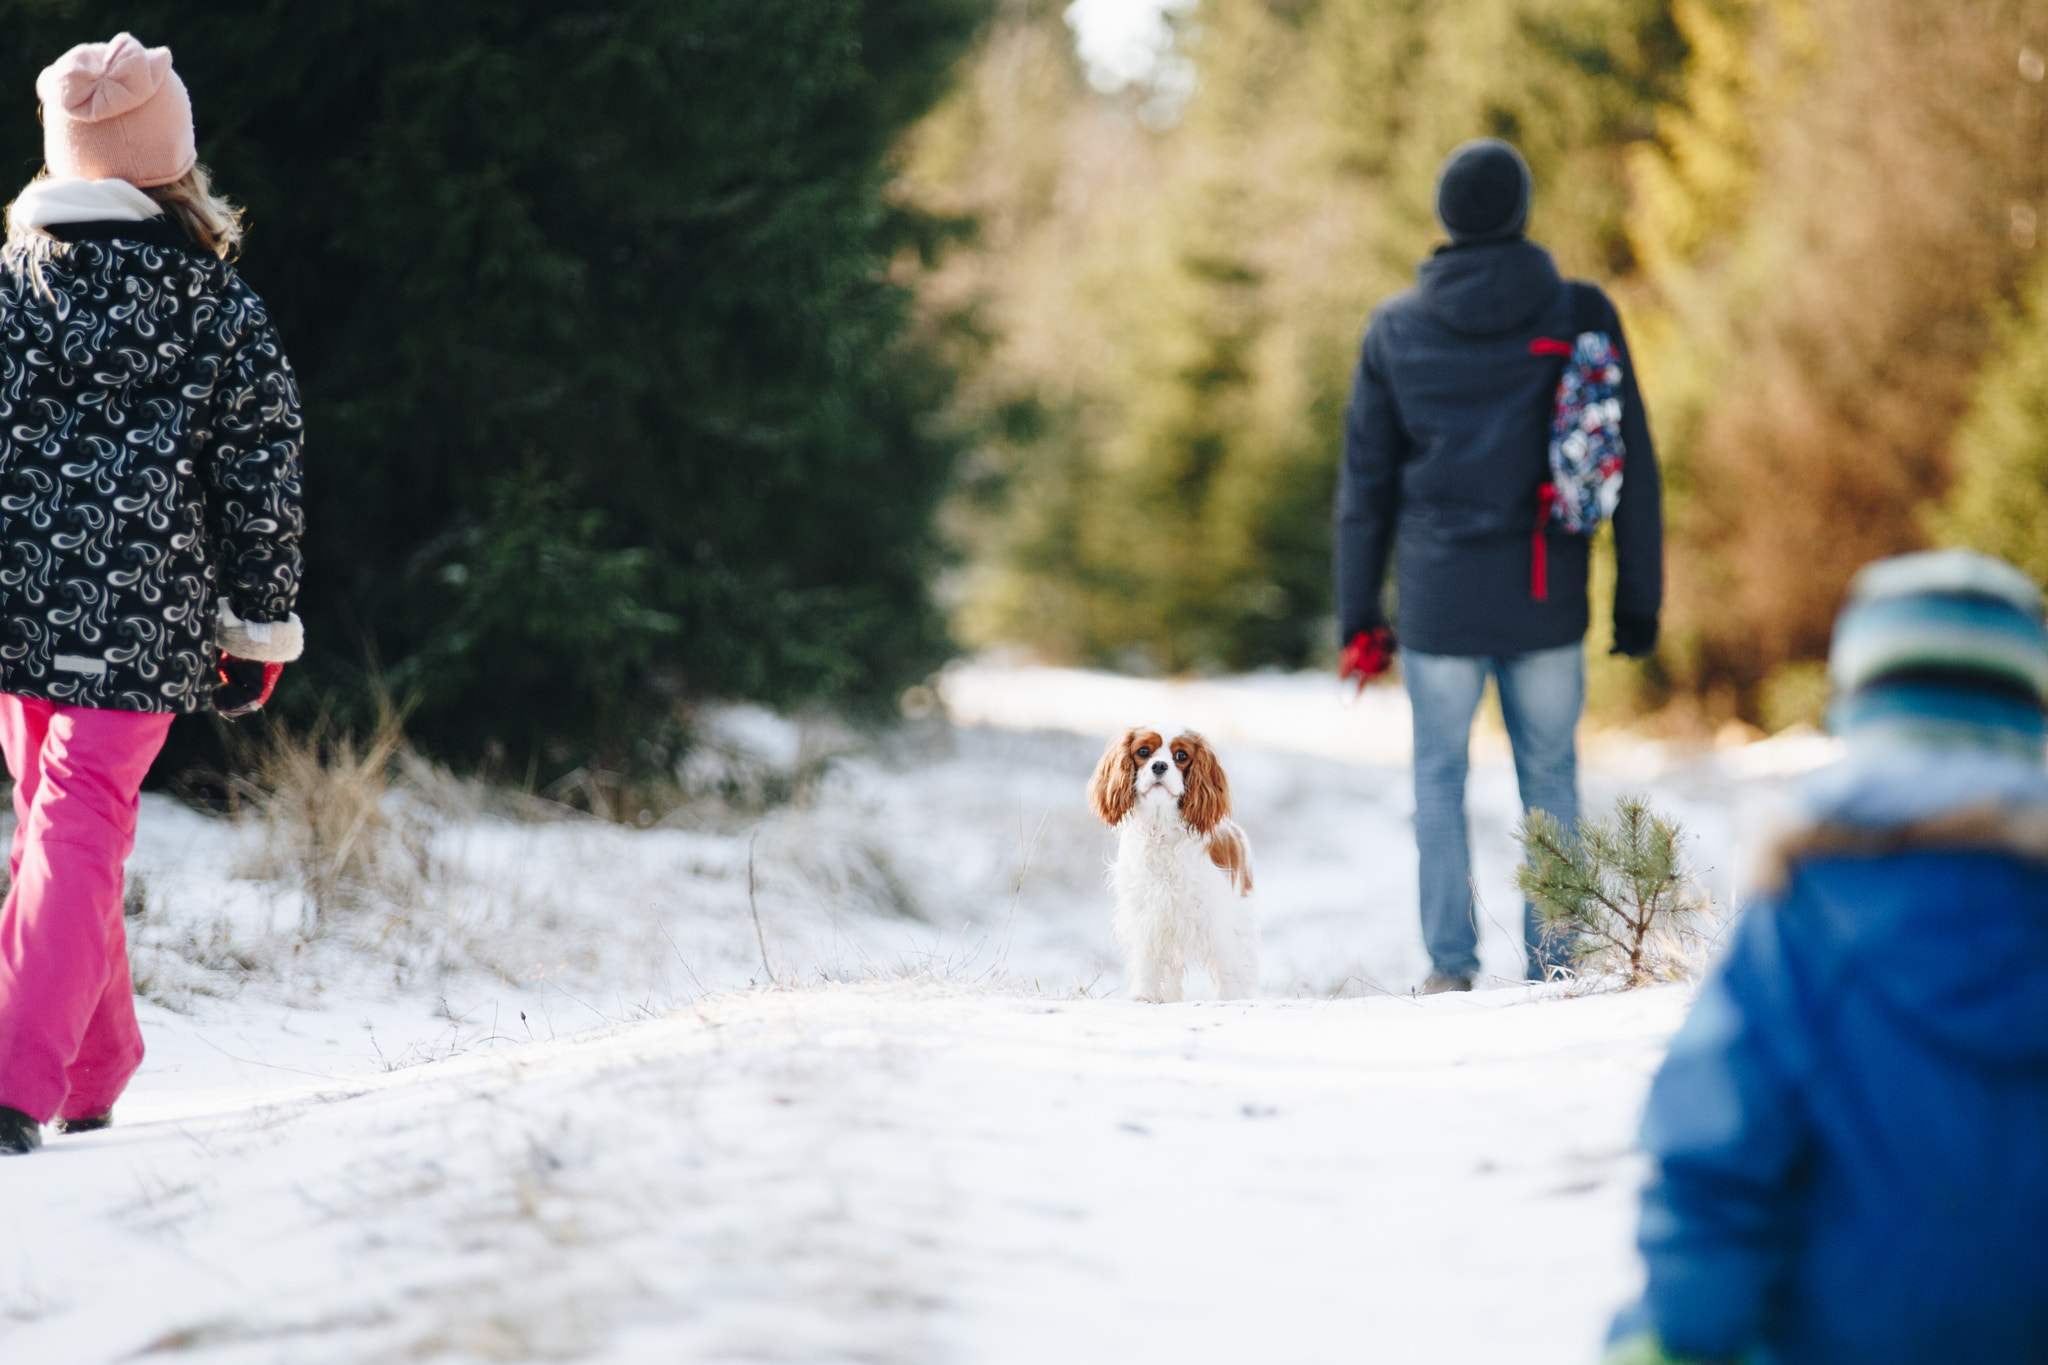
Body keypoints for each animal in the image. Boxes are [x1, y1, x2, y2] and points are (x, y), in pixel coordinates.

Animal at [1089, 724, 1261, 1002]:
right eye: (1143, 751)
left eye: (1181, 755)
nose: (1159, 765)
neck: (1162, 829)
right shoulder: (1147, 915)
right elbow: (1147, 960)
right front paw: (1144, 995)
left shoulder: (1218, 919)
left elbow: (1227, 965)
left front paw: (1229, 998)